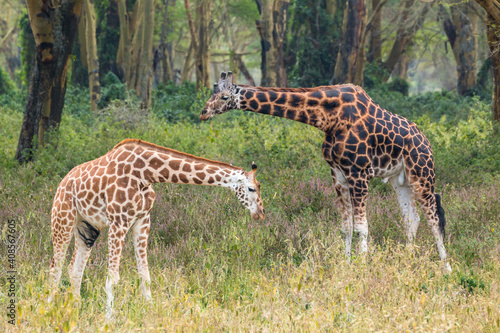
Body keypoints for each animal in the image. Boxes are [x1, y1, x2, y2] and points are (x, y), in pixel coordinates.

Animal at [49, 138, 266, 320]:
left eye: (259, 186)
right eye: (251, 188)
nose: (261, 213)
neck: (146, 174)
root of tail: (62, 182)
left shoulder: (142, 220)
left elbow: (145, 275)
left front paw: (150, 310)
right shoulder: (118, 221)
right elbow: (113, 278)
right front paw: (109, 318)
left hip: (87, 228)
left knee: (74, 269)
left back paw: (76, 309)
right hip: (63, 219)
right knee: (55, 268)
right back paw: (48, 308)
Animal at [200, 71, 454, 272]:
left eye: (224, 97)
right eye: (211, 93)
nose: (203, 113)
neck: (328, 119)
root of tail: (427, 142)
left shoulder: (359, 173)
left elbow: (362, 226)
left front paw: (363, 266)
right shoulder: (338, 174)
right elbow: (346, 227)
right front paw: (347, 264)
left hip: (421, 174)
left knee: (433, 217)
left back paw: (447, 268)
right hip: (399, 180)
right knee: (412, 218)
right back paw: (408, 262)